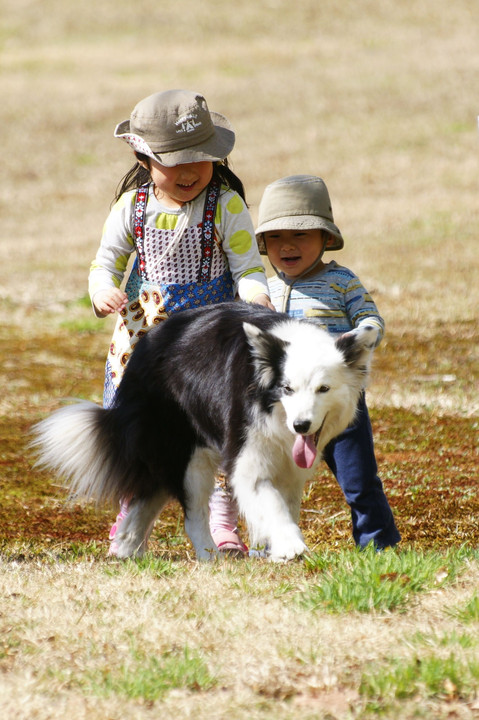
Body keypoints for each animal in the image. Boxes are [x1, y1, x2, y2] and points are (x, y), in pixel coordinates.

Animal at [32, 300, 378, 560]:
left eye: (323, 389)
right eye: (287, 389)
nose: (301, 425)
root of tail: (146, 342)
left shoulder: (290, 467)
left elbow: (286, 504)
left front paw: (280, 549)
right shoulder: (247, 457)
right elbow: (272, 503)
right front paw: (291, 545)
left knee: (147, 498)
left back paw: (128, 549)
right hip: (186, 454)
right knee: (192, 513)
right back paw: (210, 557)